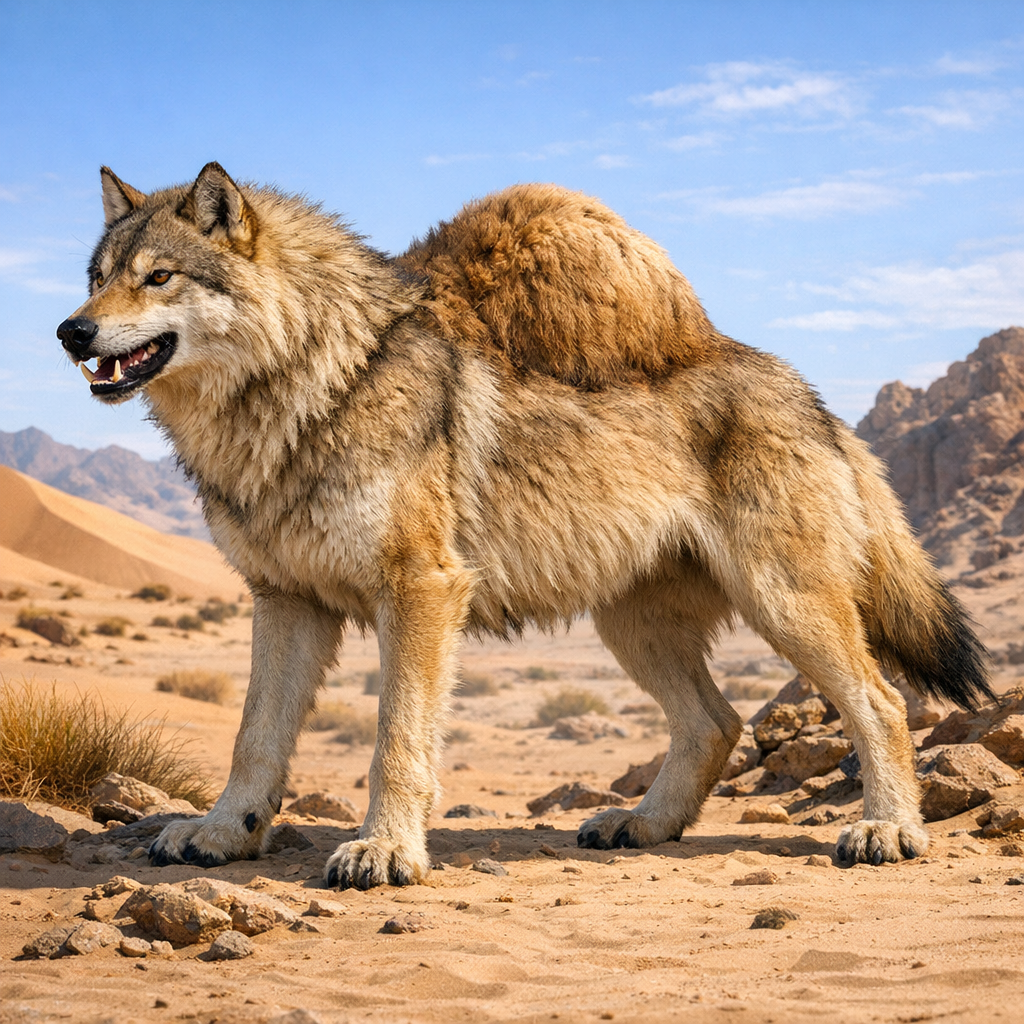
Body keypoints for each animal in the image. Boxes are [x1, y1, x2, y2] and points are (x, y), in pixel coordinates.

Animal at [57, 163, 990, 889]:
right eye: (96, 274)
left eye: (158, 277)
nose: (71, 330)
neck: (309, 386)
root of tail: (809, 392)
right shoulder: (285, 600)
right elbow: (254, 740)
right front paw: (222, 834)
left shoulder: (422, 589)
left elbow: (397, 737)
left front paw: (385, 851)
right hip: (632, 626)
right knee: (716, 724)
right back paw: (641, 825)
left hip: (784, 605)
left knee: (879, 703)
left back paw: (888, 832)